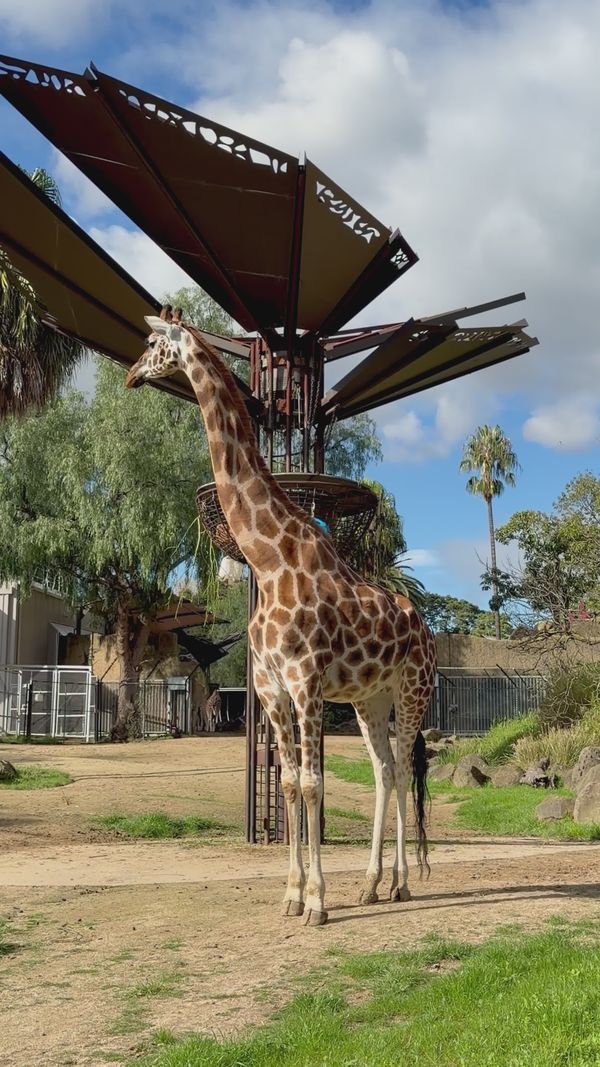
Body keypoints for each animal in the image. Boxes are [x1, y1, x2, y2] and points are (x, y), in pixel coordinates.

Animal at [125, 307, 437, 926]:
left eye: (150, 341)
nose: (129, 375)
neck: (267, 559)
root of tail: (426, 628)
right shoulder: (270, 685)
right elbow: (290, 782)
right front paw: (291, 895)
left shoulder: (306, 681)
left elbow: (315, 784)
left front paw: (317, 901)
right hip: (370, 700)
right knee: (386, 771)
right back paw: (373, 885)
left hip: (413, 692)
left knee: (401, 769)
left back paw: (401, 884)